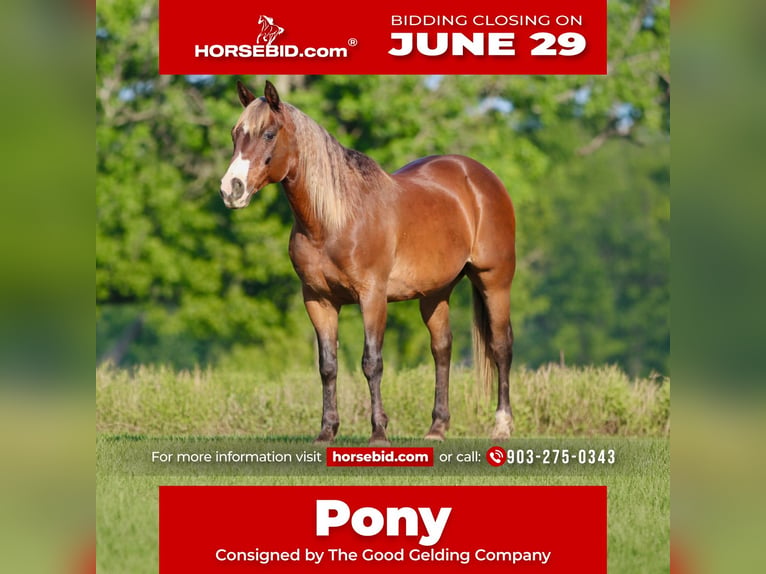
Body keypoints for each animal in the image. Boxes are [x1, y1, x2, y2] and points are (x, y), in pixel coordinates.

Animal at [220, 81, 516, 445]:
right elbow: (328, 365)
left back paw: (501, 425)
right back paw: (437, 428)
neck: (334, 219)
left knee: (501, 347)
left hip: (495, 281)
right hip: (435, 293)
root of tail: (480, 177)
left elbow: (371, 362)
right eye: (235, 134)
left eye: (269, 133)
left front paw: (378, 432)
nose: (231, 189)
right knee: (442, 349)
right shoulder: (318, 300)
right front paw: (326, 432)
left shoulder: (372, 296)